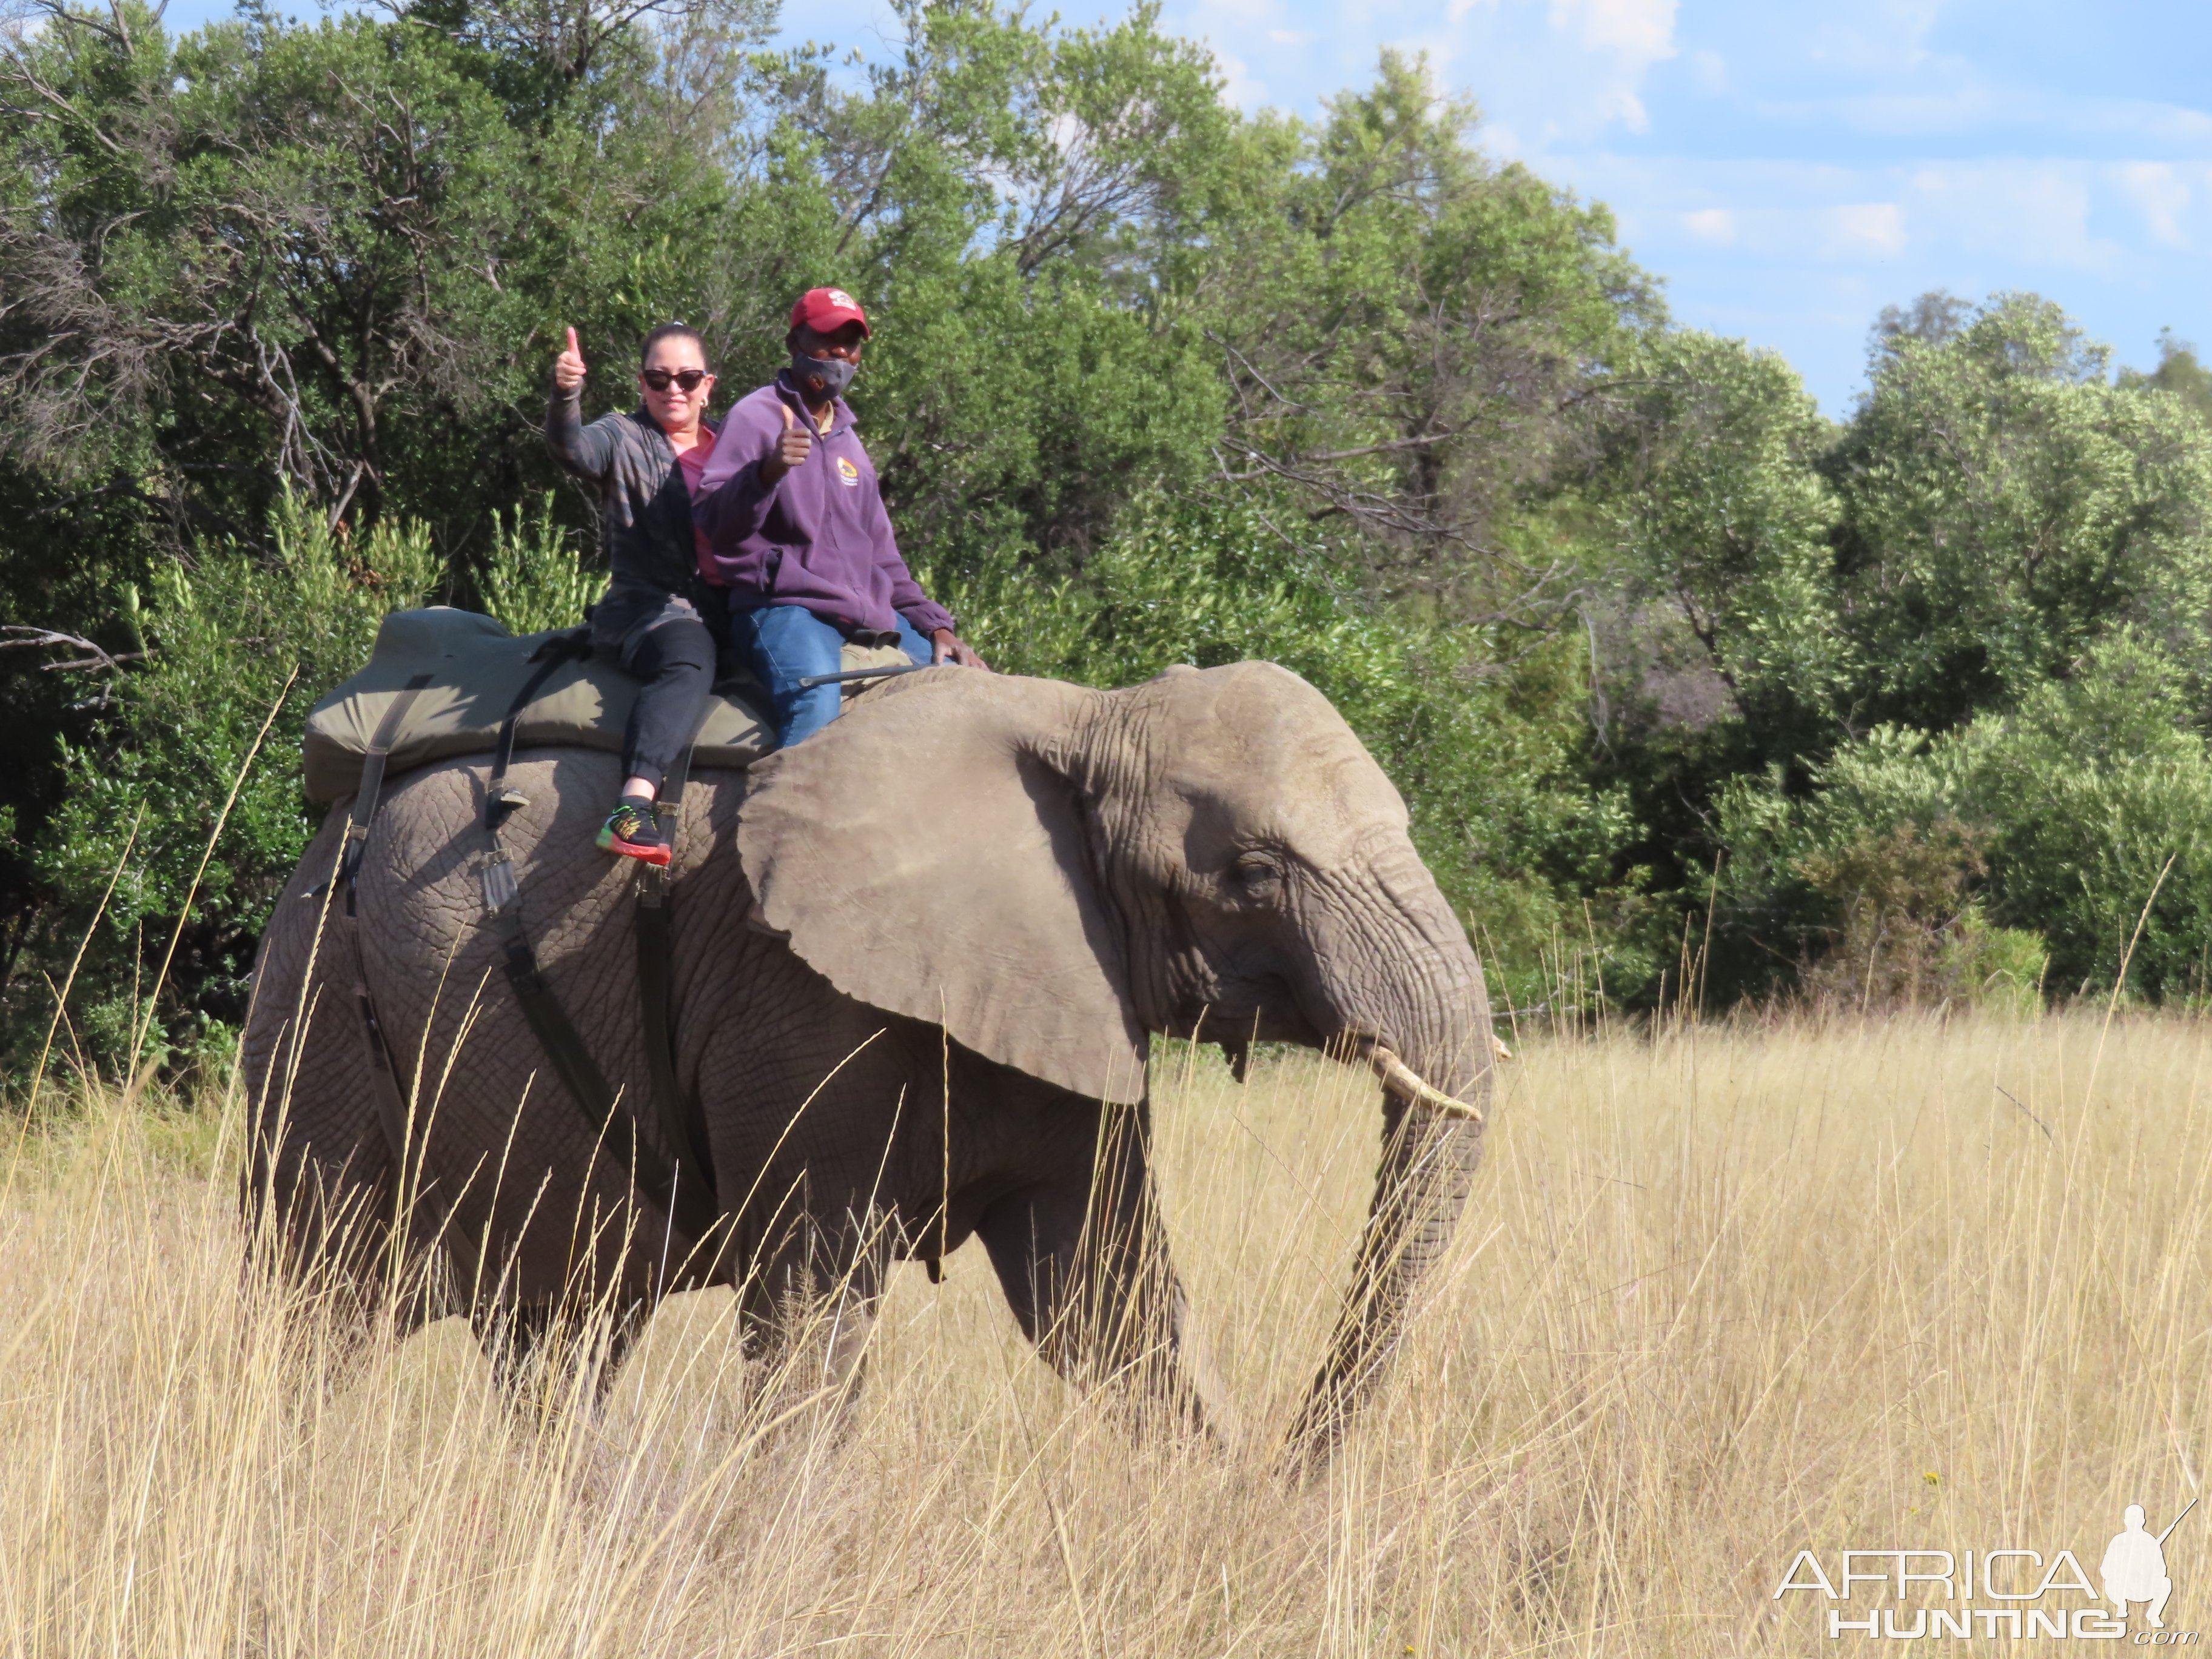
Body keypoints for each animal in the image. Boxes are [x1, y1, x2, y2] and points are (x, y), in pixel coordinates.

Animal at [242, 663, 1495, 1451]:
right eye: (1250, 874)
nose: (1299, 1458)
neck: (1083, 717)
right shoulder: (801, 1015)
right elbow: (810, 1318)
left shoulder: (1066, 991)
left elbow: (1103, 1306)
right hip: (316, 1009)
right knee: (323, 1312)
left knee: (553, 1341)